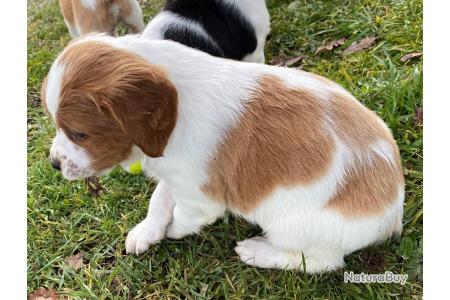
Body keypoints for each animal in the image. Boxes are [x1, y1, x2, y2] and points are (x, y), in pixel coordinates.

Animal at [41, 34, 404, 274]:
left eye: (79, 134)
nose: (55, 164)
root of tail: (393, 217)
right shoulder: (175, 173)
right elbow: (159, 198)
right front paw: (147, 231)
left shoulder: (199, 196)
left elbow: (183, 216)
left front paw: (171, 231)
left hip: (297, 229)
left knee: (318, 262)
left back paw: (258, 252)